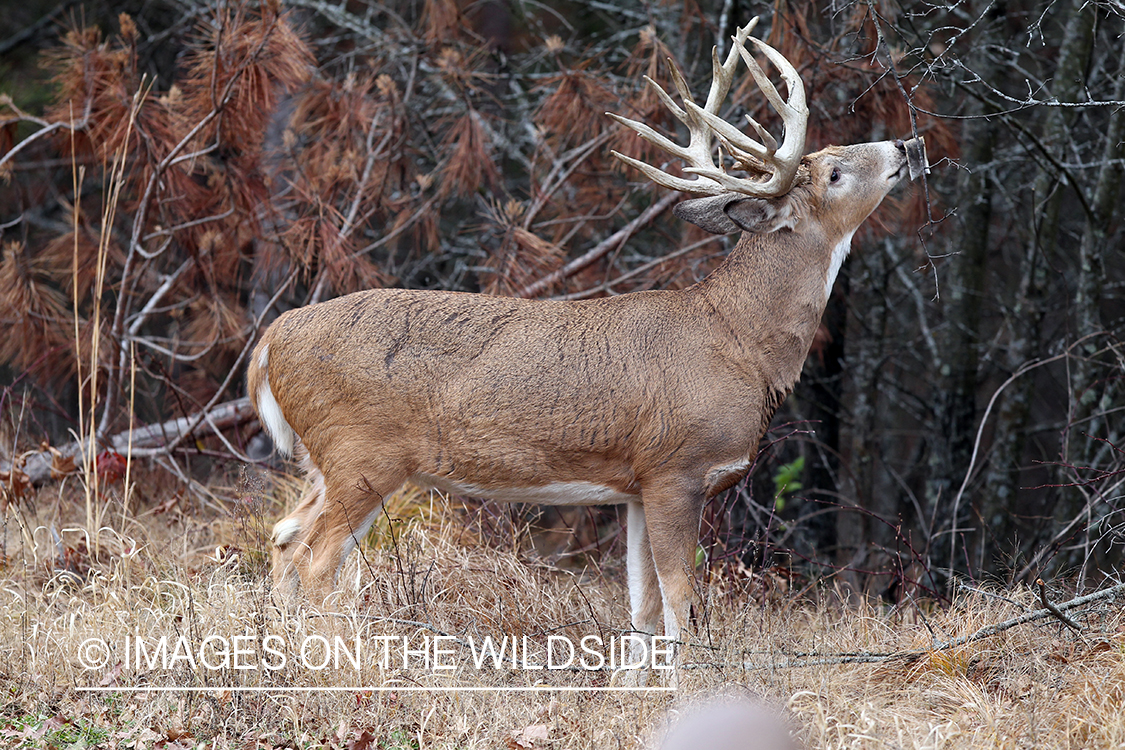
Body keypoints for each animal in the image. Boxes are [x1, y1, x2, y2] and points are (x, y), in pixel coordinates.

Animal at [250, 19, 927, 670]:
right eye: (834, 171)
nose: (906, 145)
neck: (740, 341)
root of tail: (272, 339)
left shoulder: (636, 484)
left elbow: (642, 608)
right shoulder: (676, 469)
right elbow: (679, 604)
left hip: (327, 461)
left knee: (283, 539)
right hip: (362, 454)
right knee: (312, 559)